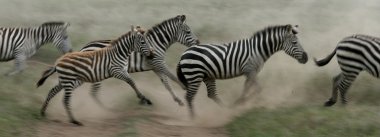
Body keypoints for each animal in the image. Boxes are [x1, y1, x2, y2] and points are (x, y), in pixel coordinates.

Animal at [177, 24, 308, 116]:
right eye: (294, 42)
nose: (306, 58)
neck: (258, 50)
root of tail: (183, 54)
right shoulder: (250, 70)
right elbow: (256, 89)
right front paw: (243, 103)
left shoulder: (250, 72)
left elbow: (248, 88)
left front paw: (239, 103)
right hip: (194, 75)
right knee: (189, 97)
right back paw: (194, 119)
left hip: (208, 76)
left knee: (211, 94)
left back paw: (225, 109)